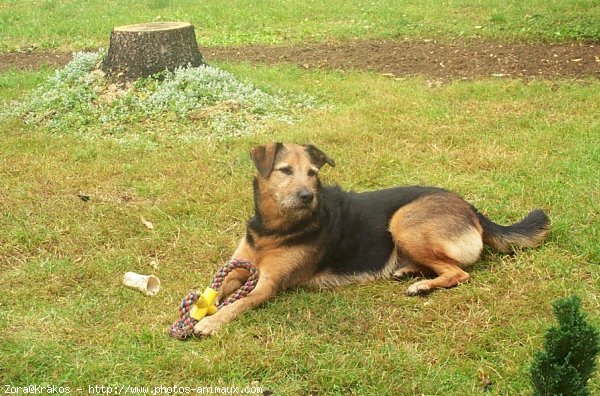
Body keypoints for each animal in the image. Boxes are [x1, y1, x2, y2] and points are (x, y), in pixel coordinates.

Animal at [195, 142, 552, 334]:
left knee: (458, 272)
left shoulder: (269, 283)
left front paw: (211, 322)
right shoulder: (238, 267)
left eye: (313, 173)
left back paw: (422, 284)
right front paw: (199, 306)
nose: (307, 196)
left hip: (403, 221)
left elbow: (239, 302)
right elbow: (212, 289)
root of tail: (470, 208)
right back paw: (408, 271)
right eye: (284, 171)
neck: (274, 230)